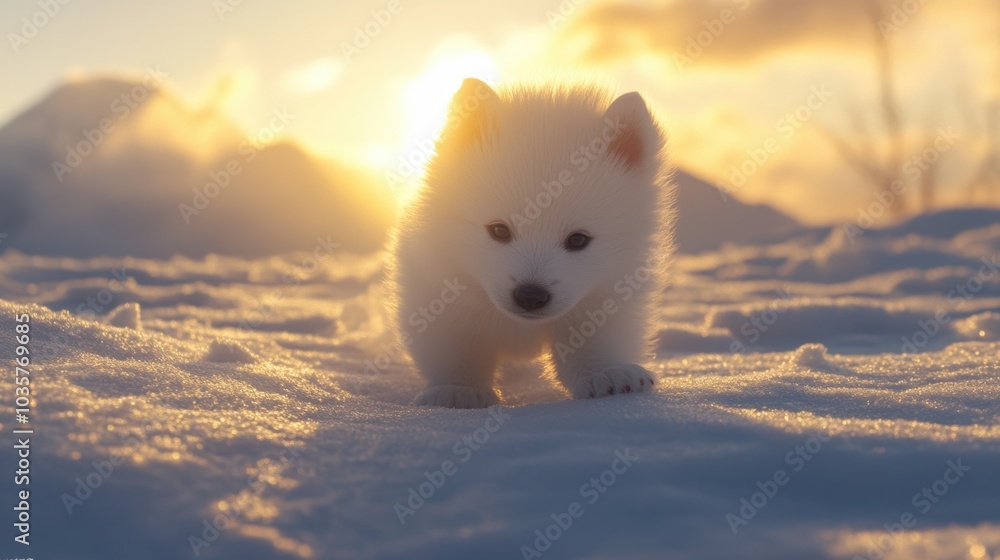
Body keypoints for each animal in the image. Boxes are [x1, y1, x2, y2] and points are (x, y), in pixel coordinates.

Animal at [386, 79, 676, 410]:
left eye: (578, 239)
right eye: (499, 230)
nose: (530, 296)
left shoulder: (607, 290)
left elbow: (595, 339)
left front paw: (607, 375)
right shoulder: (438, 290)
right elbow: (457, 348)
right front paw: (458, 391)